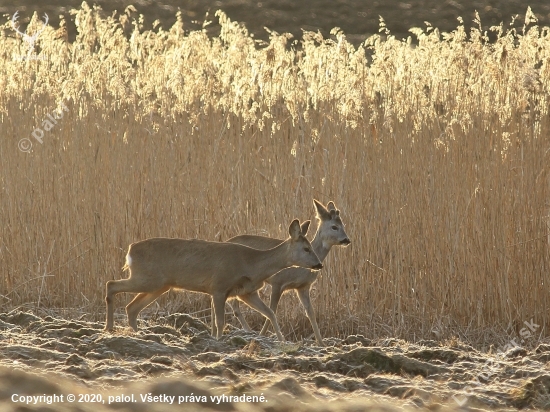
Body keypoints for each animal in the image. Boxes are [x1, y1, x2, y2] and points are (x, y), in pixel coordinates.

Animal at [105, 217, 322, 340]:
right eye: (306, 248)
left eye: (311, 246)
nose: (319, 264)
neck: (251, 263)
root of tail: (130, 250)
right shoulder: (219, 286)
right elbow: (219, 321)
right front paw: (218, 341)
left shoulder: (246, 292)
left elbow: (270, 313)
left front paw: (282, 342)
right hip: (147, 279)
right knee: (111, 284)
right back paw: (109, 328)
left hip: (158, 285)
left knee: (131, 307)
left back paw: (137, 334)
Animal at [227, 200, 350, 344]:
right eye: (334, 227)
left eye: (343, 225)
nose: (347, 240)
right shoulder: (278, 282)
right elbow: (272, 310)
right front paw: (263, 336)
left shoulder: (303, 287)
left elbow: (311, 313)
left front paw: (321, 343)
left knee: (235, 304)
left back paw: (246, 331)